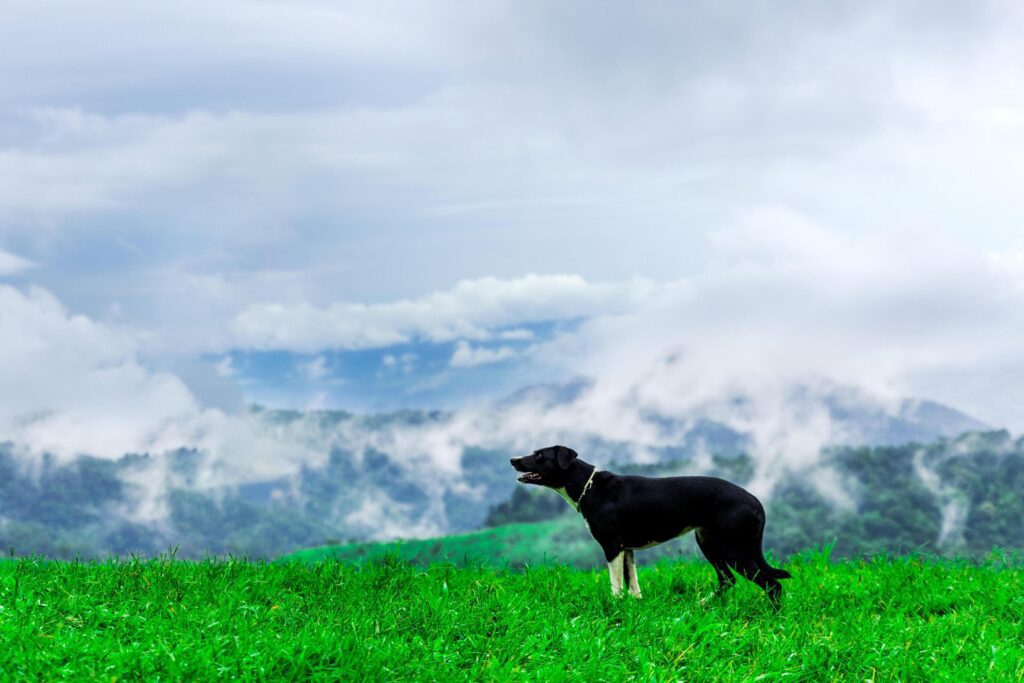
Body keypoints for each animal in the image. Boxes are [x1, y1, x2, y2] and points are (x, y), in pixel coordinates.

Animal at [512, 446, 790, 606]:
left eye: (539, 455)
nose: (513, 459)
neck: (588, 487)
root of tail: (755, 500)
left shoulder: (612, 546)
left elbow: (615, 585)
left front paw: (615, 608)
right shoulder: (627, 548)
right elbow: (632, 582)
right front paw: (636, 605)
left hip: (734, 549)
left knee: (772, 584)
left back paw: (773, 616)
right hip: (709, 542)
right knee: (728, 580)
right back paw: (703, 604)